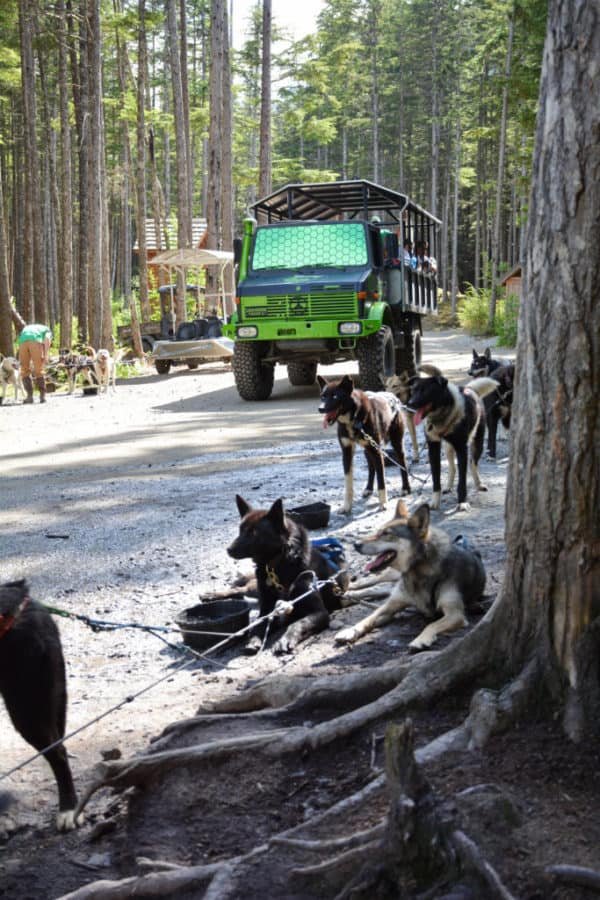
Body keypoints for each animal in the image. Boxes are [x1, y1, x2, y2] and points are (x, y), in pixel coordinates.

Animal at [316, 372, 410, 512]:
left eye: (335, 396)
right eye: (323, 396)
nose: (320, 409)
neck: (353, 419)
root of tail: (393, 396)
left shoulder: (377, 451)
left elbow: (381, 480)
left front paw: (383, 503)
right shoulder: (347, 452)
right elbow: (348, 483)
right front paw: (347, 506)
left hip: (396, 443)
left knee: (402, 462)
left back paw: (406, 488)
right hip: (368, 449)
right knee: (371, 467)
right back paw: (368, 488)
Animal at [336, 502, 486, 652]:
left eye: (386, 534)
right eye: (378, 531)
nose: (355, 544)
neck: (417, 571)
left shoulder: (455, 614)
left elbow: (431, 624)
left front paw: (420, 640)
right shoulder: (392, 604)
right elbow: (369, 617)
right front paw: (350, 630)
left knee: (378, 589)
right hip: (392, 578)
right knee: (373, 582)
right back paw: (349, 589)